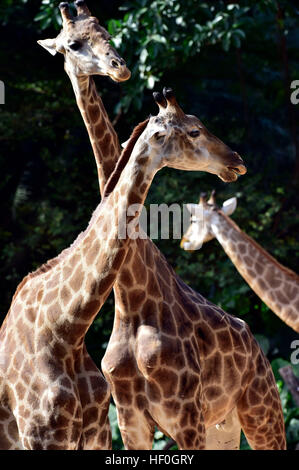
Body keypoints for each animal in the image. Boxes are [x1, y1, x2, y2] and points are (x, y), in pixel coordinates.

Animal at [37, 0, 248, 448]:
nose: (119, 67)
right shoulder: (128, 413)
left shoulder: (182, 413)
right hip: (222, 424)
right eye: (74, 44)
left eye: (106, 31)